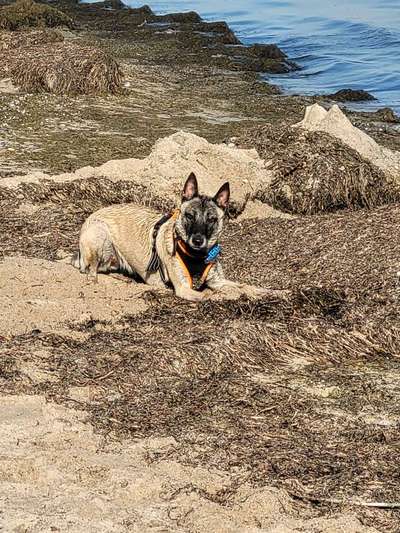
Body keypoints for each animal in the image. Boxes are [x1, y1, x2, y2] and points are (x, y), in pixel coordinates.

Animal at [72, 172, 278, 302]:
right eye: (189, 216)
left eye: (211, 219)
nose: (197, 240)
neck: (197, 255)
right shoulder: (185, 288)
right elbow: (212, 295)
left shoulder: (217, 280)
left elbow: (244, 286)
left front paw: (269, 291)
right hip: (99, 234)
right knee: (91, 271)